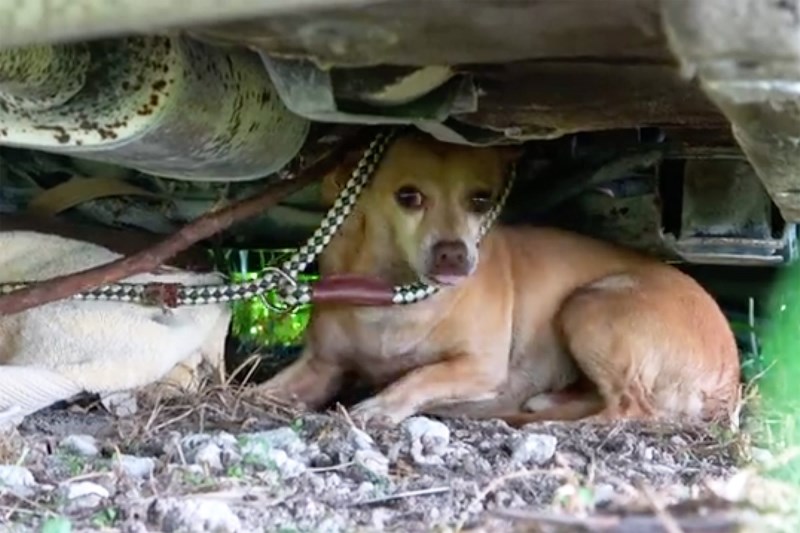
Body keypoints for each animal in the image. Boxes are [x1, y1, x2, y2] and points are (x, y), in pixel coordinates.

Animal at [256, 135, 736, 426]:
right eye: (408, 196)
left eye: (480, 200)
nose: (454, 253)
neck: (395, 291)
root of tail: (730, 378)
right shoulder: (321, 367)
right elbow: (266, 392)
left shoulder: (478, 366)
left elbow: (419, 376)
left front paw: (382, 405)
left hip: (588, 306)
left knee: (631, 408)